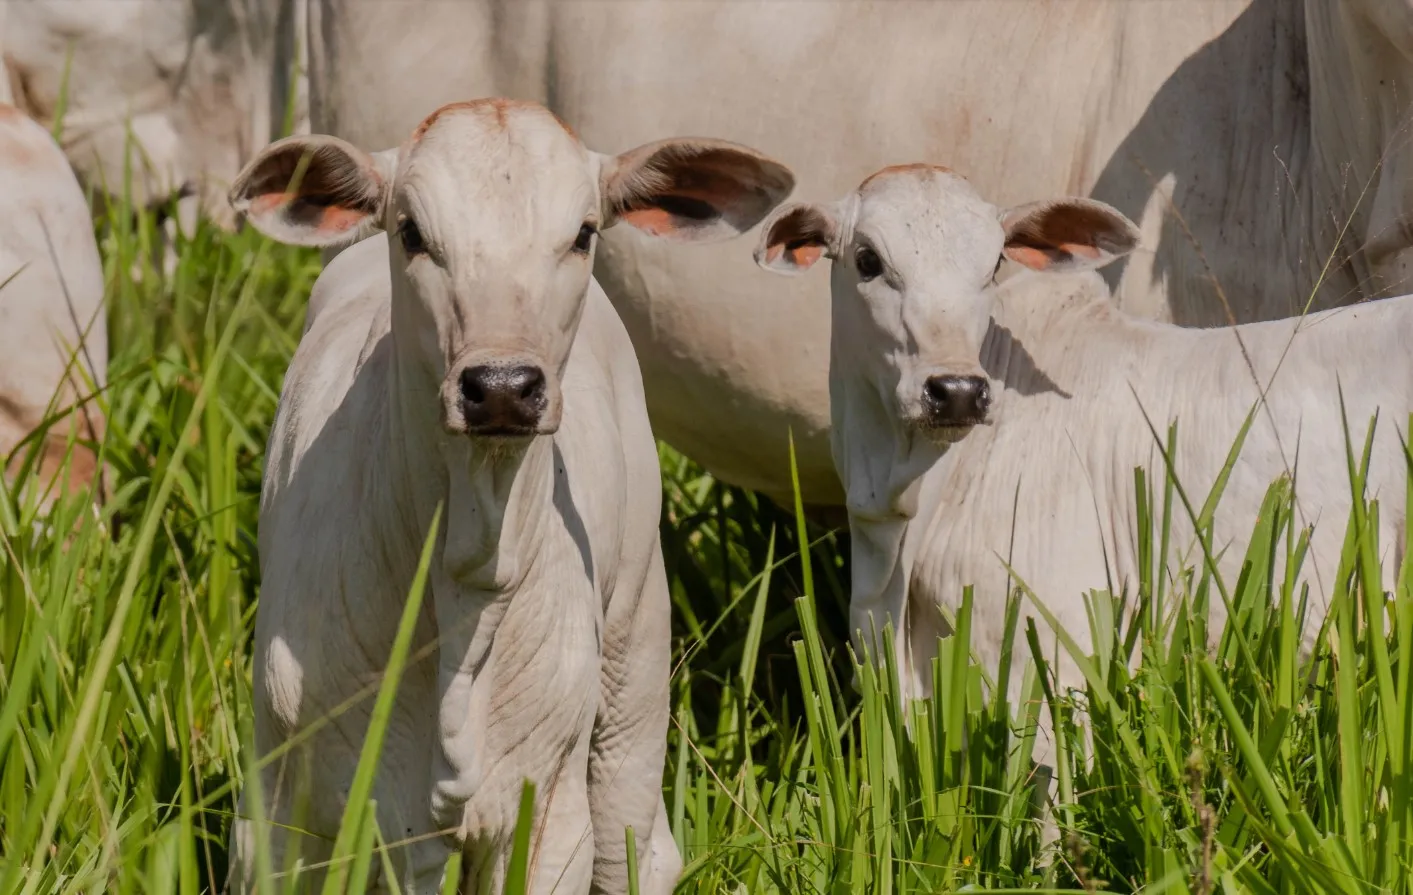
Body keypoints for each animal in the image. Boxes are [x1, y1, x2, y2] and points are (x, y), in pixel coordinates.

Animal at [221, 101, 796, 887]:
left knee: (637, 845)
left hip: (634, 671)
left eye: (582, 233)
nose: (500, 386)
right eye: (412, 231)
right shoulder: (291, 806)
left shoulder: (547, 809)